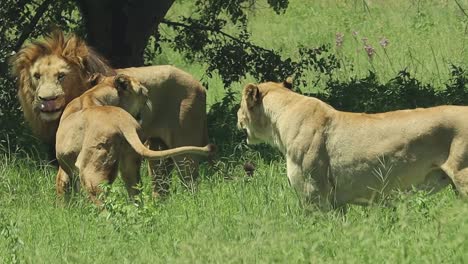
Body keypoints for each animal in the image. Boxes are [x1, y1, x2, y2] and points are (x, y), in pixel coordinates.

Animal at [56, 74, 214, 202]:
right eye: (142, 91)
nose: (148, 93)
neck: (93, 95)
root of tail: (122, 122)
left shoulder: (66, 168)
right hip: (131, 167)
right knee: (137, 196)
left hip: (92, 171)